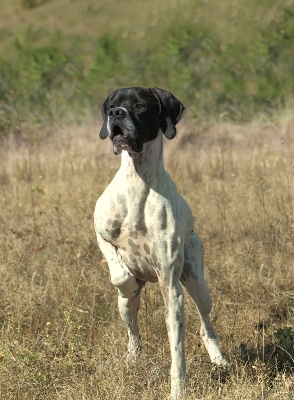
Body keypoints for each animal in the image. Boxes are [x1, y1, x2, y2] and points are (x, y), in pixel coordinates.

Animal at [94, 86, 230, 396]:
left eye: (140, 105)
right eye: (114, 104)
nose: (115, 114)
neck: (138, 181)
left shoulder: (171, 288)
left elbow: (177, 352)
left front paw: (178, 390)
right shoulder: (99, 231)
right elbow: (119, 273)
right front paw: (125, 277)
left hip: (198, 285)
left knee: (206, 325)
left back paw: (219, 360)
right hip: (124, 306)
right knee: (132, 329)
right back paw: (133, 357)